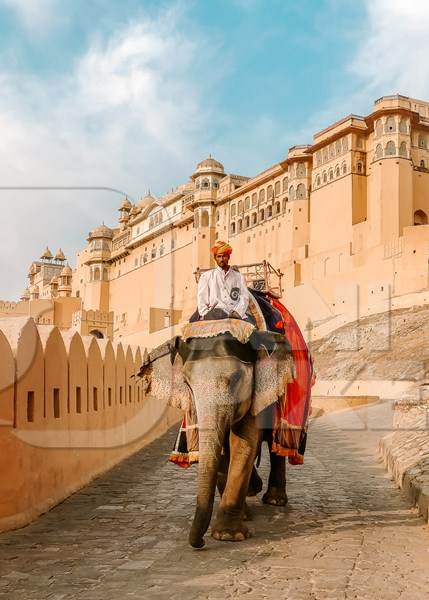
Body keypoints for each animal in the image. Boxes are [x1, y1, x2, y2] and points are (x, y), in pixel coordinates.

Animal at [139, 326, 292, 552]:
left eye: (237, 379)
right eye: (187, 382)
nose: (200, 543)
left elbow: (243, 443)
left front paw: (228, 535)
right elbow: (223, 451)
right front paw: (241, 518)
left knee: (276, 446)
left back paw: (275, 500)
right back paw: (254, 490)